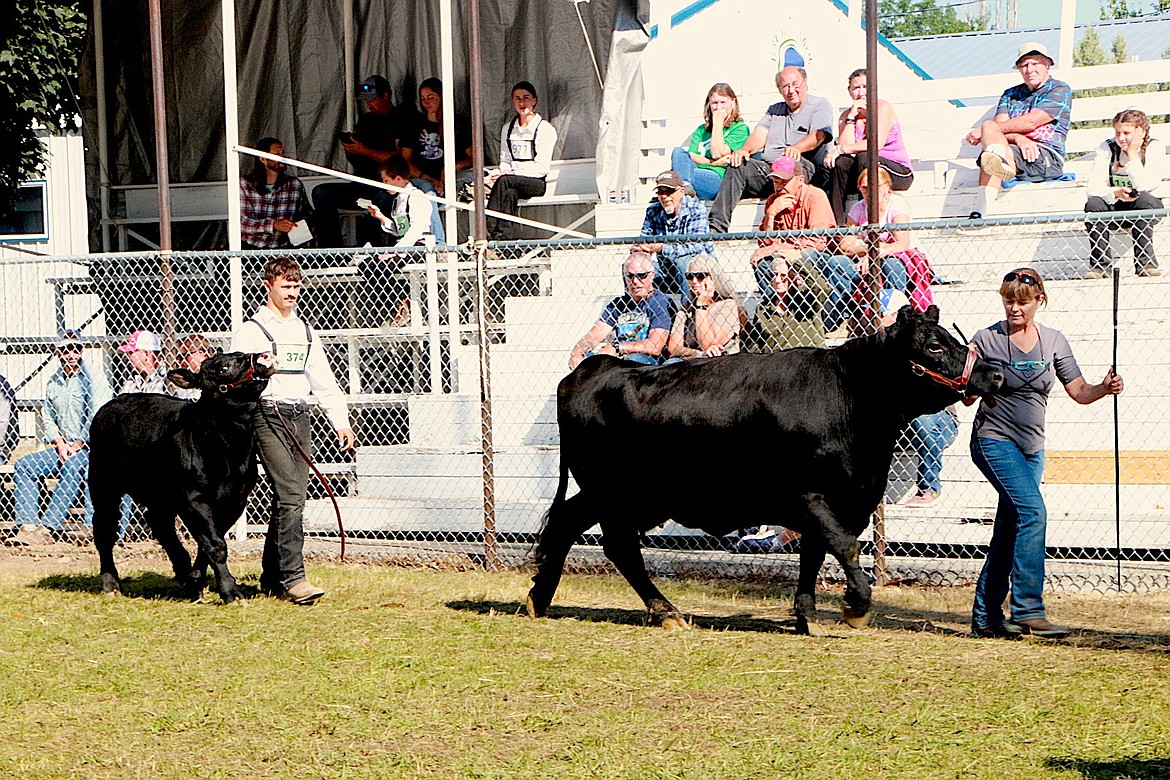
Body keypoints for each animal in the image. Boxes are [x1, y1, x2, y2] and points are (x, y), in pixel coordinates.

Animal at [88, 353, 276, 603]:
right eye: (222, 368)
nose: (256, 357)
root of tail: (113, 402)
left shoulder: (235, 500)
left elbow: (208, 543)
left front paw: (195, 580)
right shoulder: (192, 498)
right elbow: (215, 545)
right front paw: (230, 591)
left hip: (159, 494)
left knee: (160, 524)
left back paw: (183, 572)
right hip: (103, 484)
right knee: (105, 530)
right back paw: (110, 583)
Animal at [531, 306, 1006, 636]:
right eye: (933, 346)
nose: (993, 374)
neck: (850, 398)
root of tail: (597, 367)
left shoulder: (843, 501)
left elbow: (815, 555)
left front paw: (807, 615)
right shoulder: (811, 496)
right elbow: (846, 547)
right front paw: (855, 608)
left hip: (623, 495)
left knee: (570, 523)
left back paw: (541, 595)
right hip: (614, 493)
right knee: (616, 544)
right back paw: (662, 611)